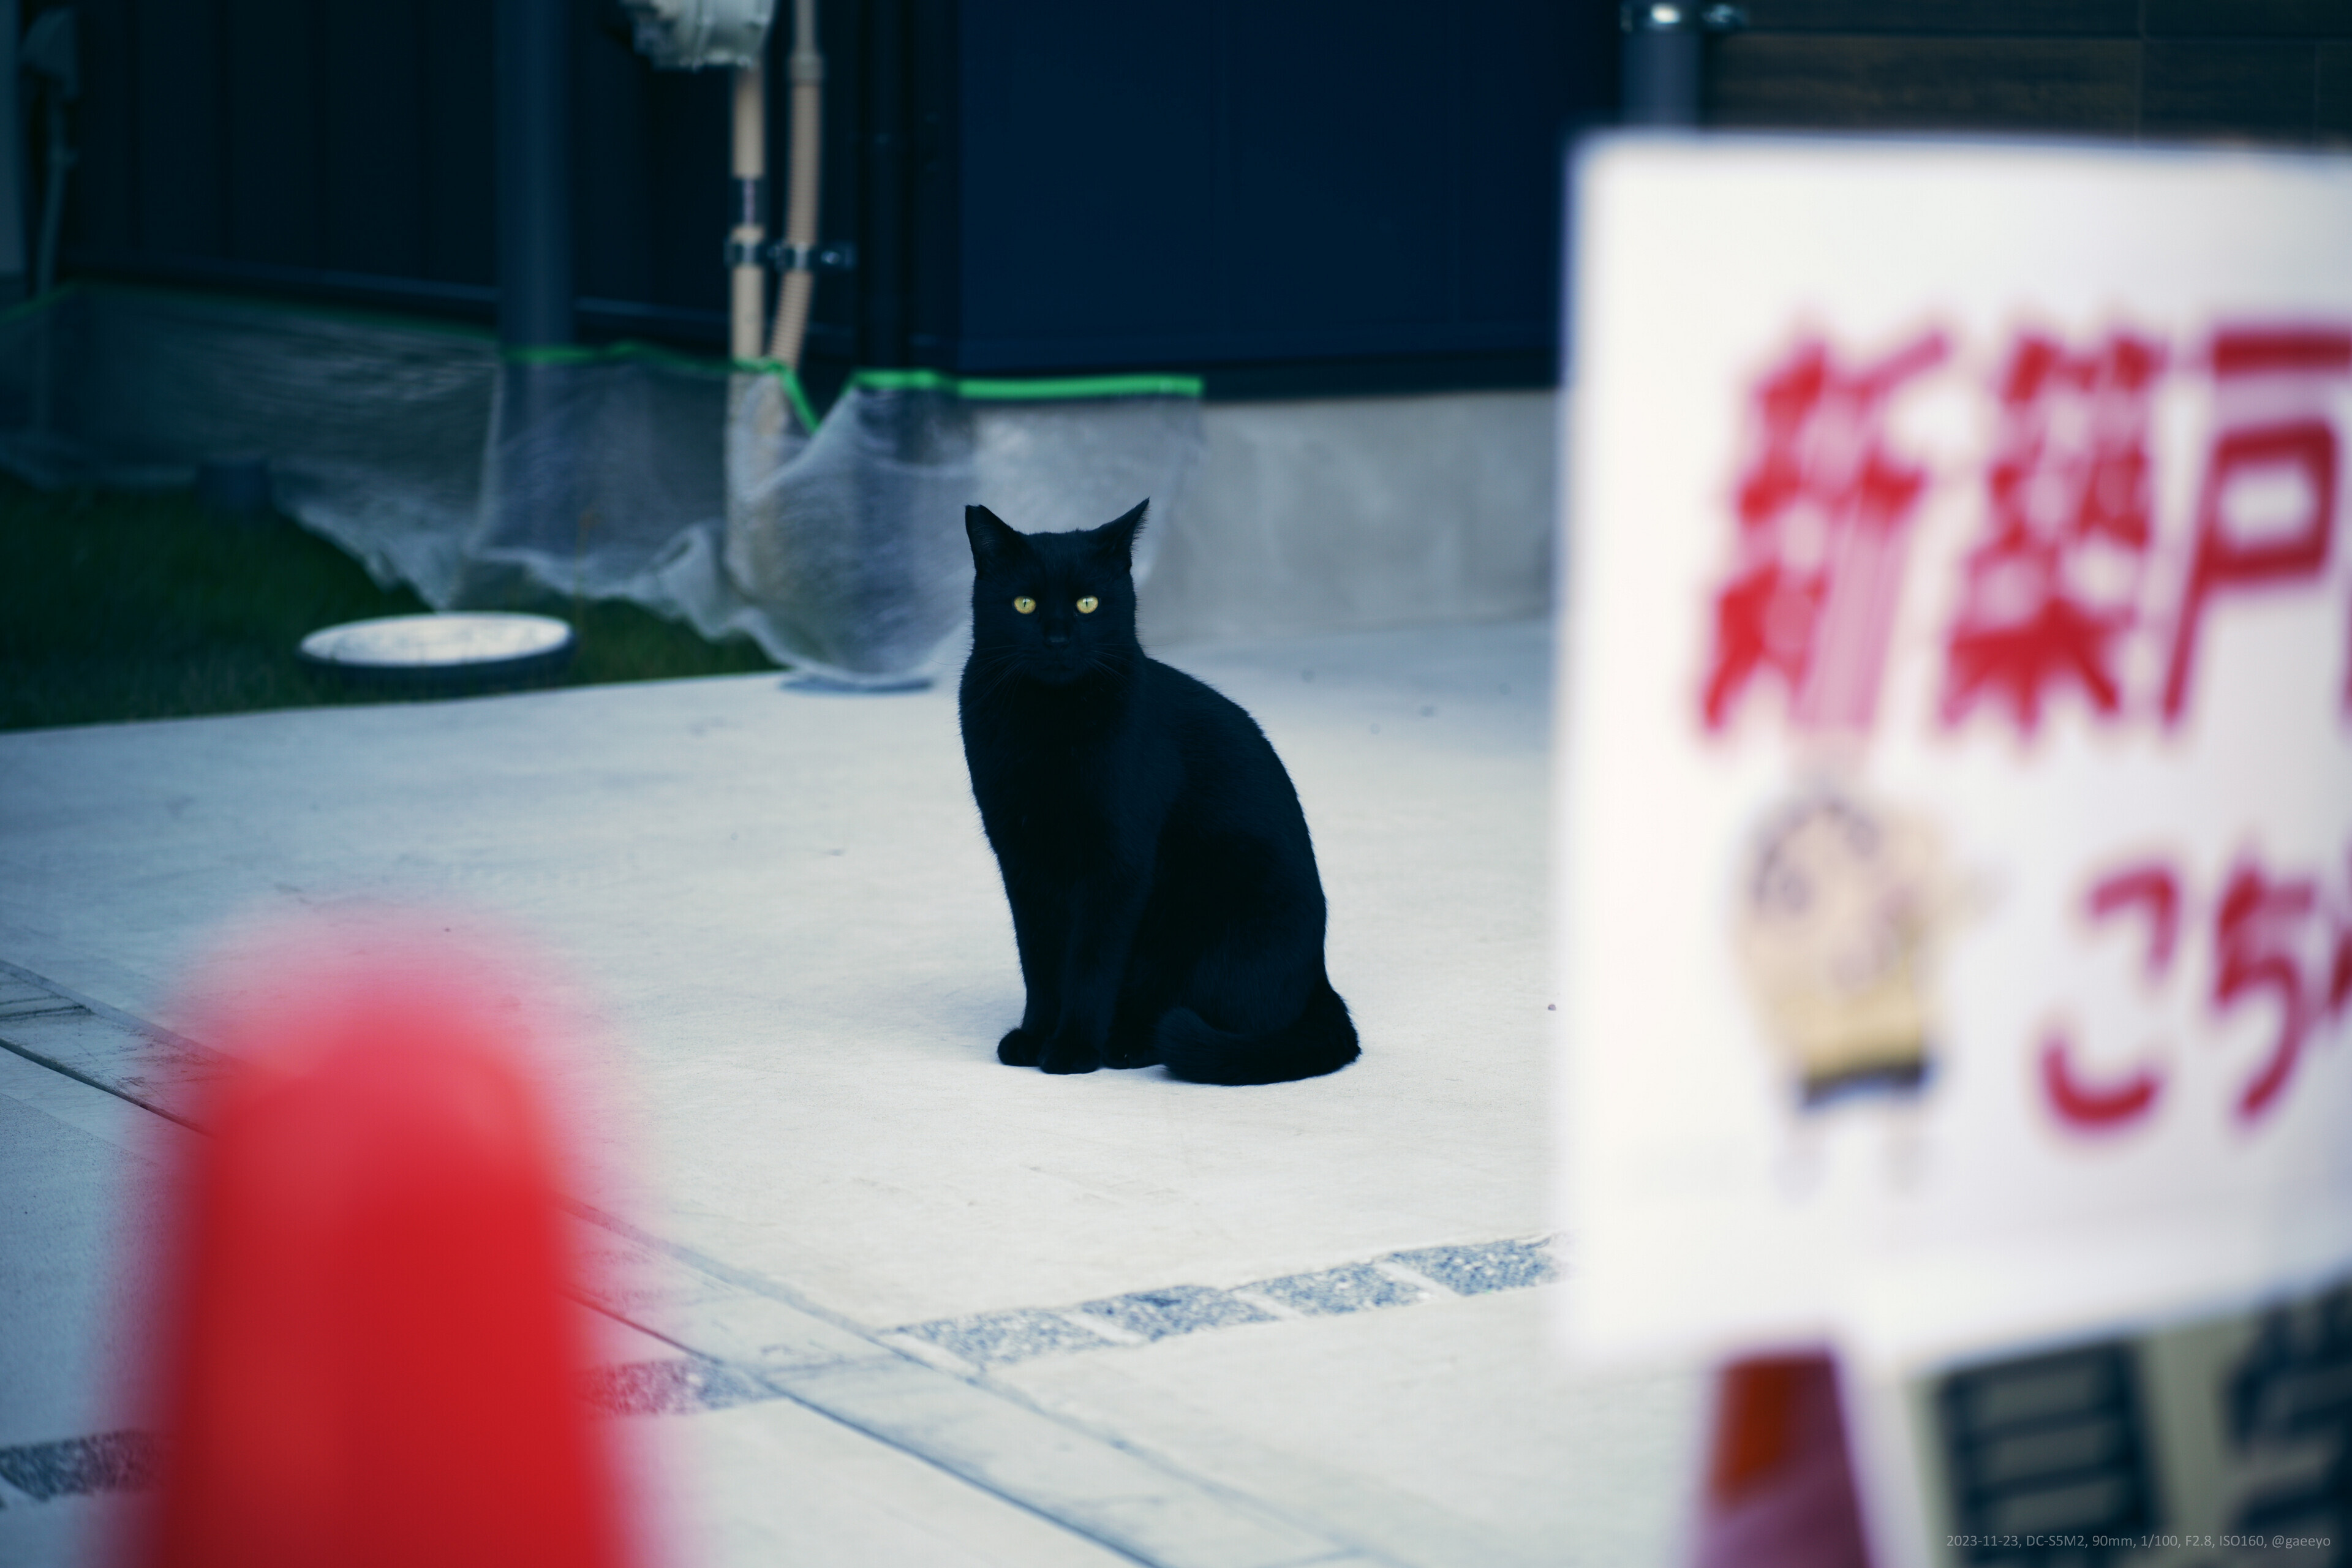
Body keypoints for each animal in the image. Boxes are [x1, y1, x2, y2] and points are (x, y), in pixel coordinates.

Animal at [959, 499, 1359, 1085]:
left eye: (1087, 604)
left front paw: (1072, 1048)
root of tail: (1320, 981)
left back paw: (1127, 1043)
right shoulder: (1023, 862)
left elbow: (1090, 964)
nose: (1057, 639)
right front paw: (1034, 1037)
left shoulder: (1118, 864)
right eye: (1024, 604)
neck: (1049, 726)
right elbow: (1040, 960)